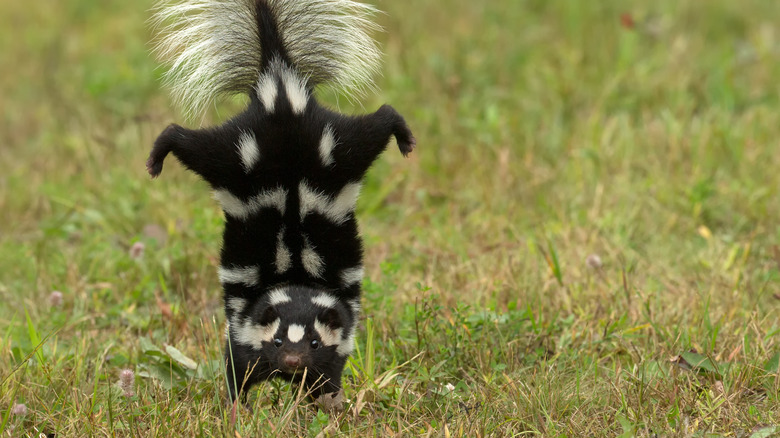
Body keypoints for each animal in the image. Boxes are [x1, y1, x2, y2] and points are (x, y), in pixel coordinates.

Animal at [145, 0, 414, 408]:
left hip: (335, 145)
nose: (291, 362)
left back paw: (403, 135)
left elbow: (328, 375)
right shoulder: (243, 329)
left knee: (380, 121)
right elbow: (238, 368)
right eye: (276, 340)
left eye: (314, 342)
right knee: (187, 141)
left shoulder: (339, 337)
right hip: (239, 152)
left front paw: (327, 403)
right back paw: (159, 153)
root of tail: (282, 91)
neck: (297, 281)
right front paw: (235, 406)